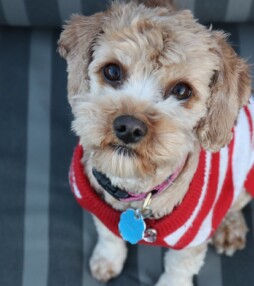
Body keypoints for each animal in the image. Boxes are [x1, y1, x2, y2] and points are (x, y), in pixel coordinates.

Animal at [58, 1, 254, 284]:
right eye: (112, 71)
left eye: (182, 90)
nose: (129, 127)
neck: (136, 193)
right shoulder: (100, 209)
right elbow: (108, 235)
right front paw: (107, 260)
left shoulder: (191, 243)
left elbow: (178, 269)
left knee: (234, 202)